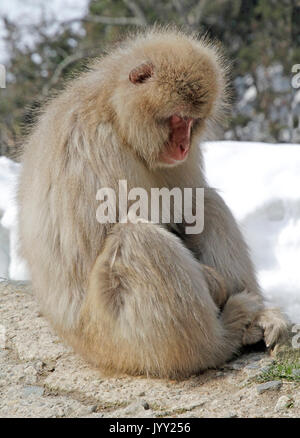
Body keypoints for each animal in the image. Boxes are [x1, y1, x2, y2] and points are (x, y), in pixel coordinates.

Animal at [18, 28, 288, 376]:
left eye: (193, 121)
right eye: (176, 119)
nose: (184, 145)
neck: (116, 116)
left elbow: (187, 208)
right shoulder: (94, 144)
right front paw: (215, 285)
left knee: (204, 202)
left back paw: (257, 319)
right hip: (113, 339)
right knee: (137, 238)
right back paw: (218, 340)